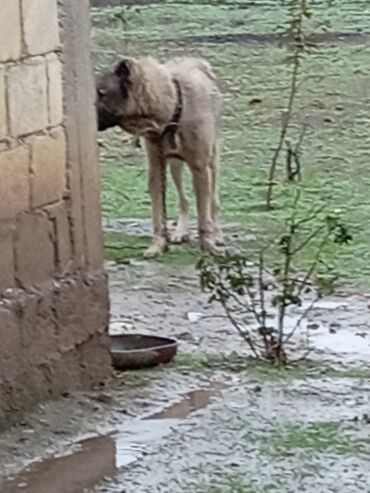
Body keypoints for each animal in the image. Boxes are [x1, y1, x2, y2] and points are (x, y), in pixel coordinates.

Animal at [95, 56, 223, 258]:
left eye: (102, 93)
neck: (174, 107)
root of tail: (195, 61)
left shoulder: (200, 168)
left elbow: (204, 217)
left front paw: (209, 245)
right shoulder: (156, 168)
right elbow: (158, 216)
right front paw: (158, 245)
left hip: (213, 161)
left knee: (213, 201)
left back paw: (217, 234)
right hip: (175, 165)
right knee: (184, 200)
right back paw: (180, 231)